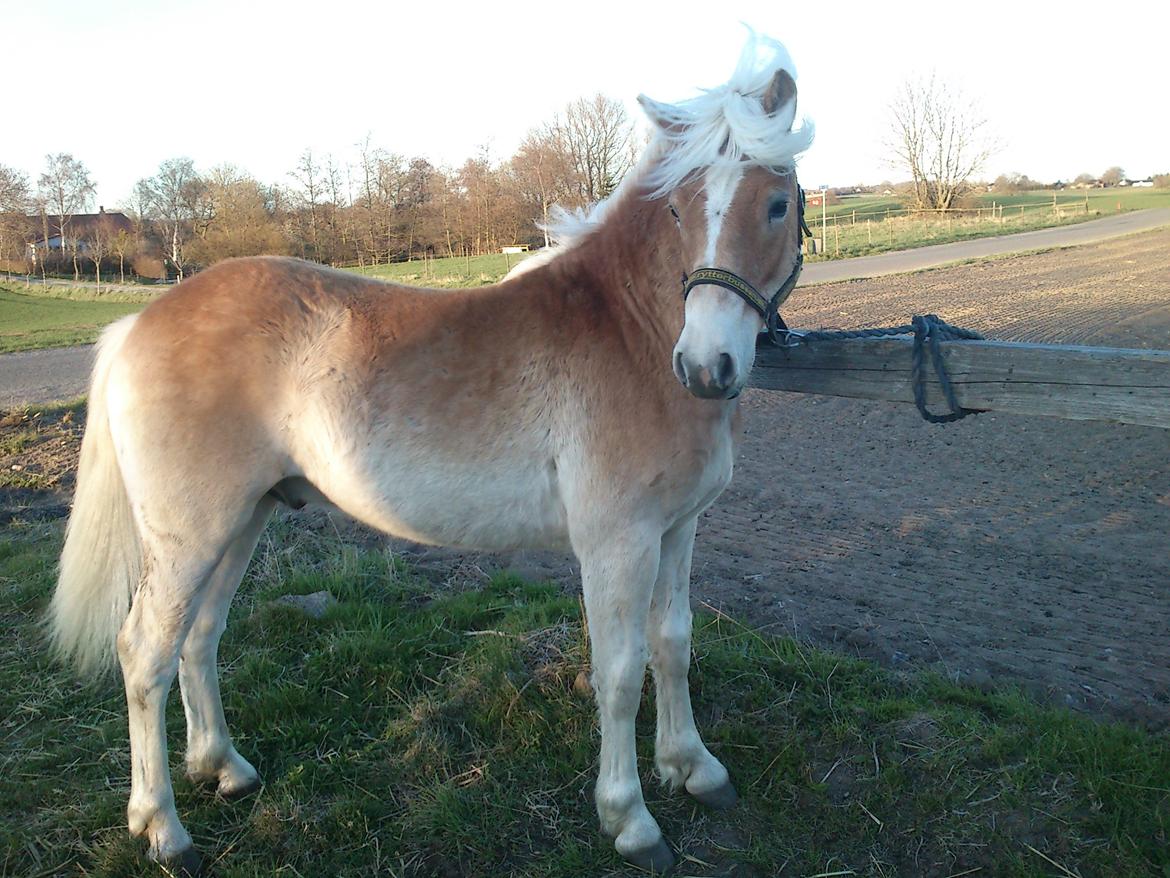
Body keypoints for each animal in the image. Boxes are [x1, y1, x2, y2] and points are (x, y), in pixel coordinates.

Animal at [47, 31, 814, 875]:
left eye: (776, 204)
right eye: (678, 209)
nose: (707, 367)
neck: (629, 332)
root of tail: (138, 324)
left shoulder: (677, 530)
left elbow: (672, 646)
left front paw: (694, 769)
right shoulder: (617, 543)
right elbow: (618, 674)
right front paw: (631, 819)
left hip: (242, 521)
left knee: (200, 636)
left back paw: (225, 769)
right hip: (190, 535)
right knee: (146, 652)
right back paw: (162, 827)